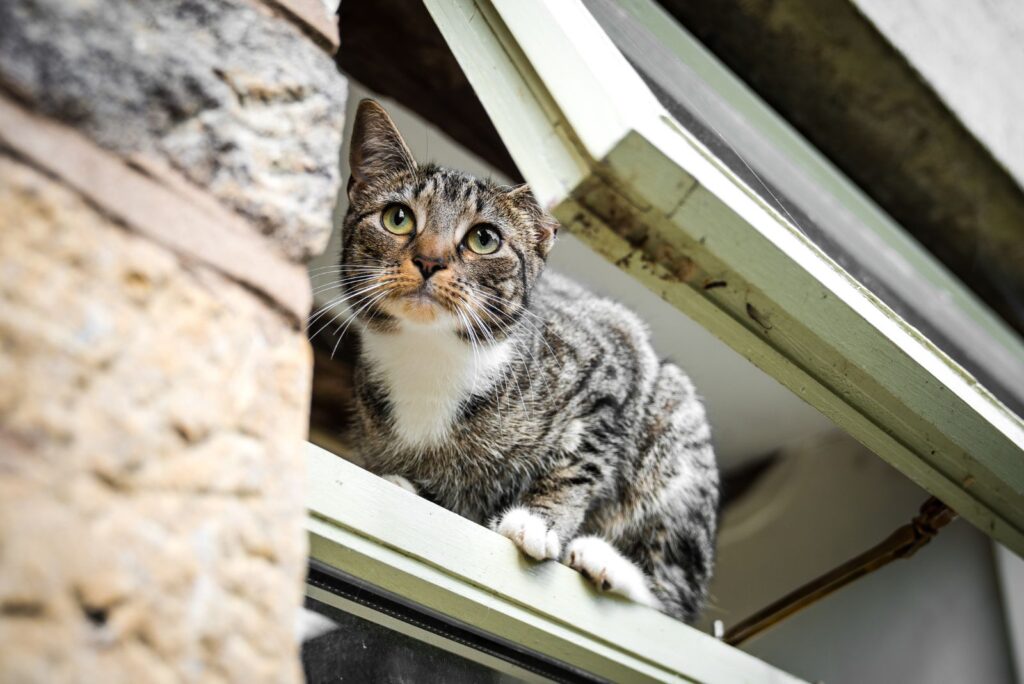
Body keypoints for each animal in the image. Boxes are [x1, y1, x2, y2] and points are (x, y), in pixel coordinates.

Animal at [331, 97, 716, 626]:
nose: (430, 260)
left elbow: (581, 459)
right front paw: (405, 484)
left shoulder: (613, 358)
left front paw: (538, 520)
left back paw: (610, 563)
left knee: (679, 594)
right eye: (397, 217)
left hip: (678, 435)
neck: (431, 358)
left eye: (484, 239)